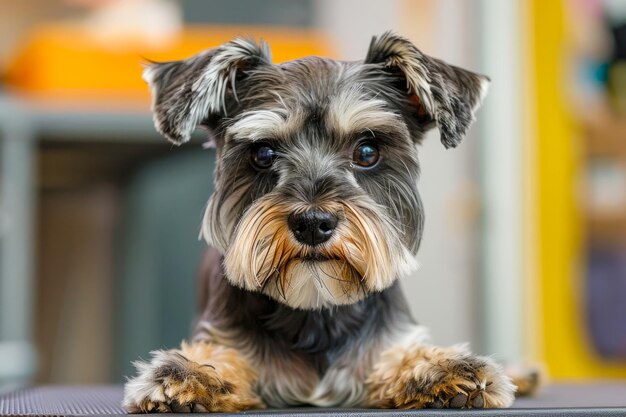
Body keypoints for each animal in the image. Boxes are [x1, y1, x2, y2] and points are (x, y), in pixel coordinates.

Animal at [120, 31, 516, 410]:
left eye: (367, 151)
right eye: (263, 153)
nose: (312, 223)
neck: (316, 309)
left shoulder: (389, 343)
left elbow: (402, 357)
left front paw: (445, 369)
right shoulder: (224, 338)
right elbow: (221, 358)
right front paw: (187, 375)